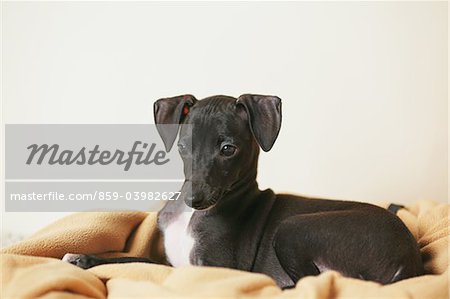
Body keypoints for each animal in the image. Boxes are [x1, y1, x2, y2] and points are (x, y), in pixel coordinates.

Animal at [64, 95, 426, 290]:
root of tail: (407, 262)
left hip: (294, 228)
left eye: (228, 149)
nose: (194, 199)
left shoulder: (213, 269)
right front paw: (84, 258)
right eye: (182, 146)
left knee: (306, 283)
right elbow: (135, 257)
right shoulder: (172, 261)